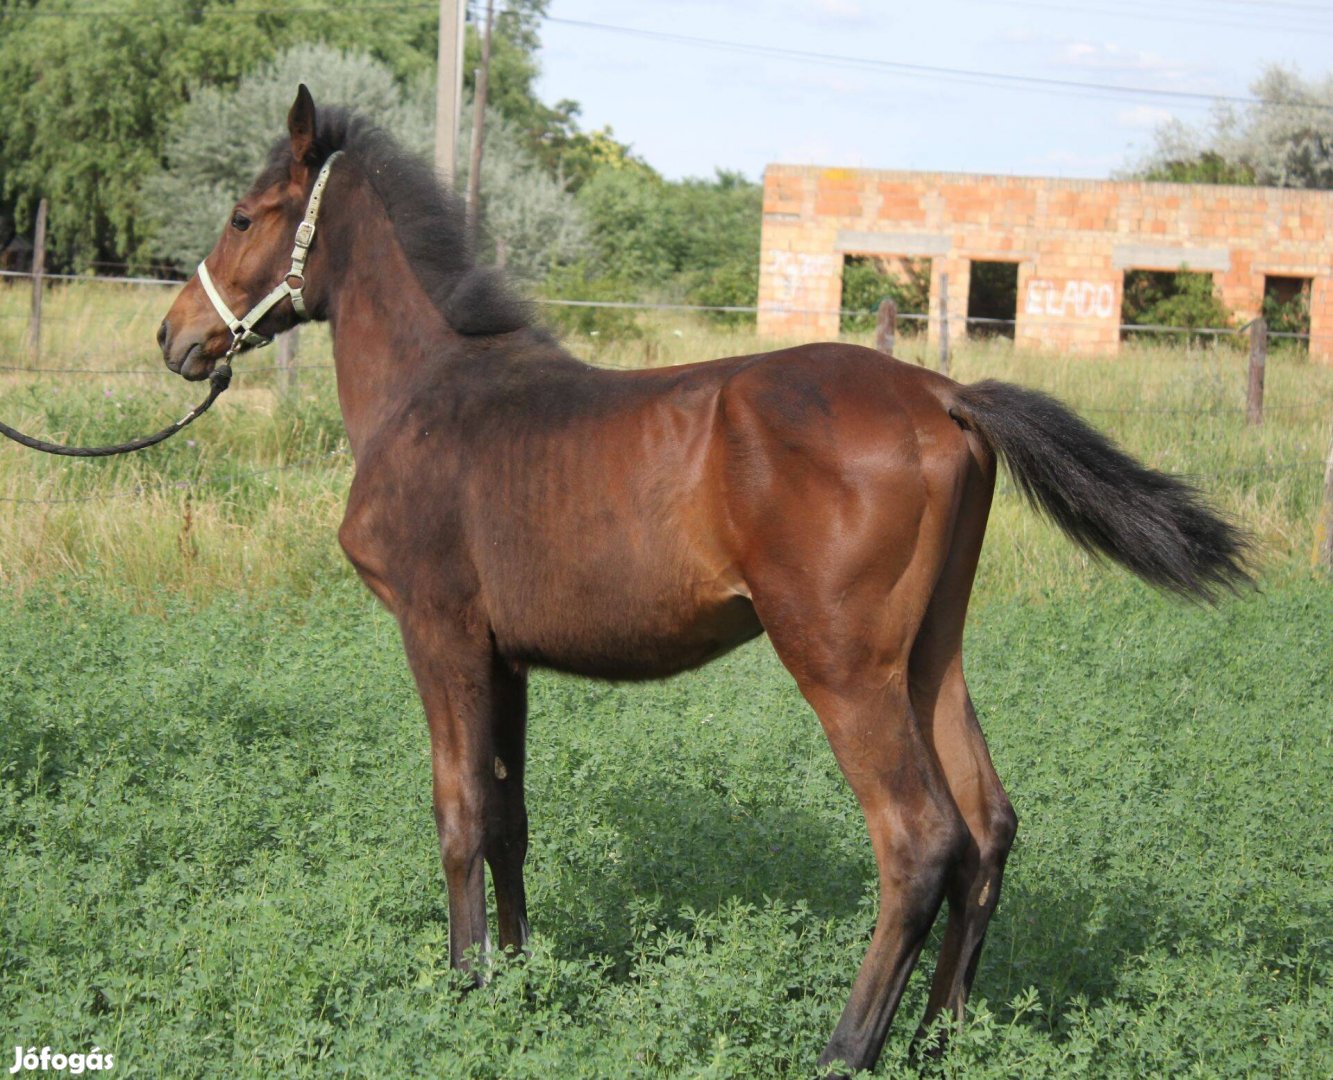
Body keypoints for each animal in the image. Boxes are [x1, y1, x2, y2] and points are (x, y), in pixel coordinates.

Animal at [158, 88, 1247, 1072]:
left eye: (243, 215)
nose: (176, 339)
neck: (430, 392)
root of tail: (945, 393)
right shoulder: (508, 659)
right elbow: (510, 819)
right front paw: (516, 981)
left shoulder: (440, 634)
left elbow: (459, 814)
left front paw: (465, 992)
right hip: (929, 653)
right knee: (988, 828)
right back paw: (939, 1042)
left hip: (841, 662)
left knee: (920, 839)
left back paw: (844, 1049)